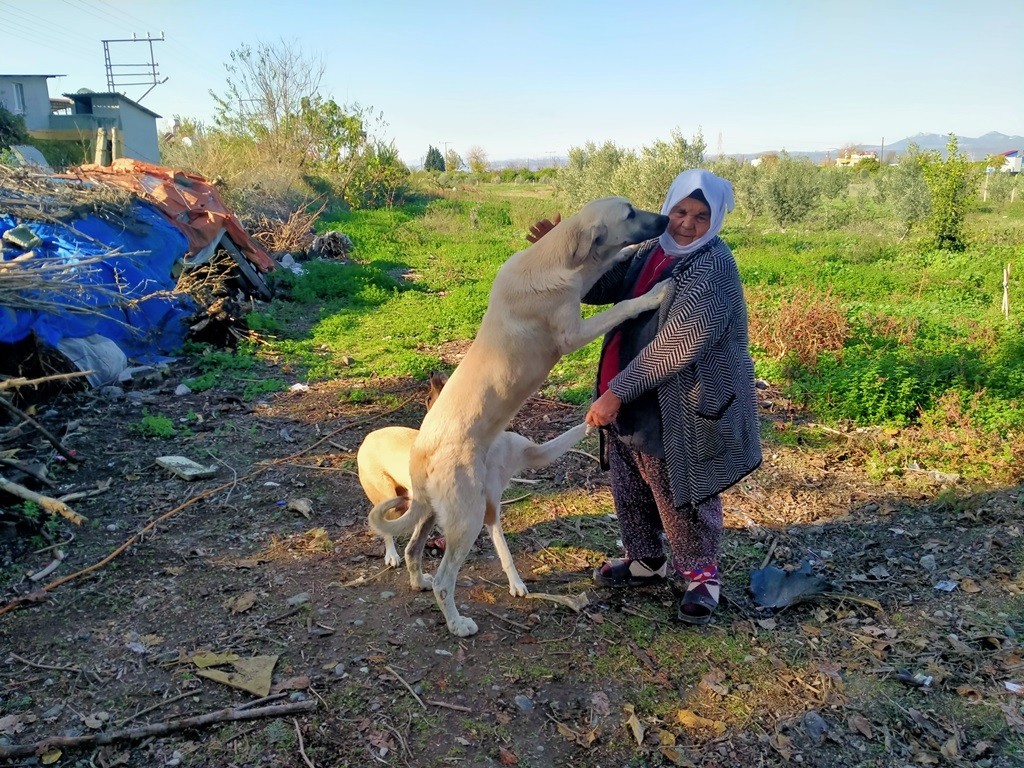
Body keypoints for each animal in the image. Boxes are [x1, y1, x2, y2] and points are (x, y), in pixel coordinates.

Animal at [368, 196, 671, 638]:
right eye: (629, 213)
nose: (666, 220)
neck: (556, 260)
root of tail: (421, 451)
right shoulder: (573, 334)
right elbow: (623, 306)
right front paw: (654, 294)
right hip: (468, 517)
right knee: (445, 578)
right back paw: (458, 623)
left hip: (434, 512)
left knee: (411, 549)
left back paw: (418, 581)